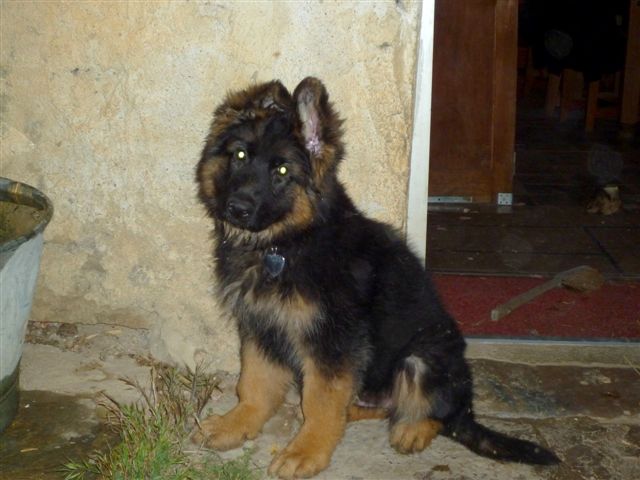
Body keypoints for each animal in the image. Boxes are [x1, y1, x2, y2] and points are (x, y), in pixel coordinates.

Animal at [195, 77, 560, 478]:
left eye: (282, 172)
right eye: (240, 156)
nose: (237, 209)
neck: (286, 243)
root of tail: (468, 407)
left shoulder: (333, 342)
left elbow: (320, 399)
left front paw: (307, 450)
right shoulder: (261, 327)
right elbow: (254, 384)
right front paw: (237, 423)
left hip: (422, 358)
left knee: (436, 414)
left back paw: (412, 430)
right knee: (380, 406)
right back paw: (354, 413)